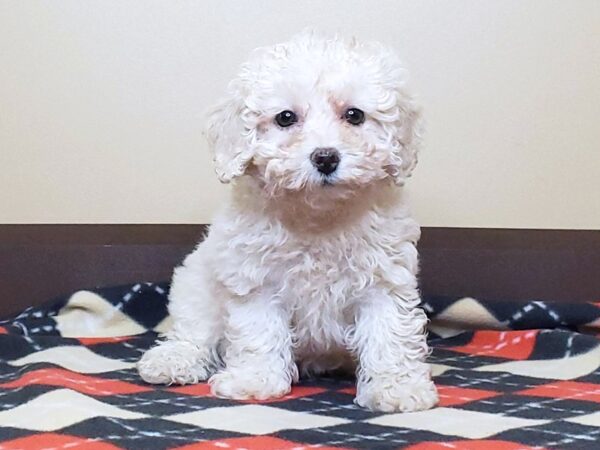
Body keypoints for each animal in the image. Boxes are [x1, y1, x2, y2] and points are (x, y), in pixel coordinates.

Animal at [138, 30, 438, 412]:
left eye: (354, 115)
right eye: (285, 118)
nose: (325, 157)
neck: (317, 215)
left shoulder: (383, 278)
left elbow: (389, 332)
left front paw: (396, 387)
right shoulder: (255, 278)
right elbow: (259, 330)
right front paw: (255, 381)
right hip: (195, 286)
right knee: (194, 332)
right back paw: (172, 360)